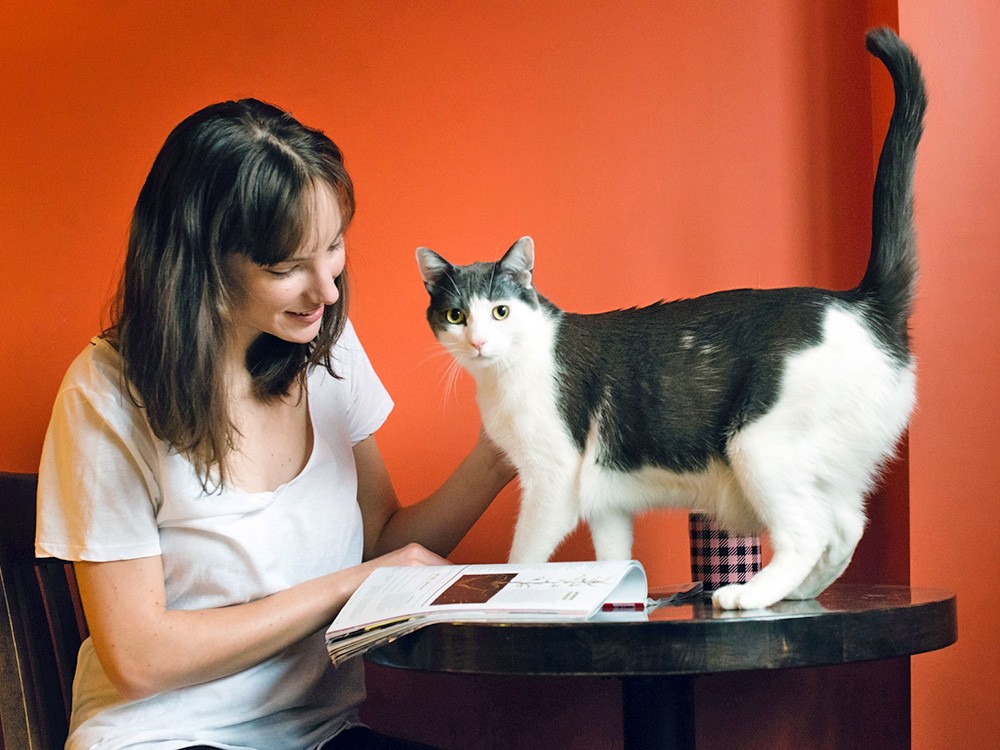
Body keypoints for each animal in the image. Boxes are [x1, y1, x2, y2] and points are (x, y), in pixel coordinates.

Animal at [416, 29, 928, 612]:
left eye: (500, 311)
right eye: (456, 315)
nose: (479, 341)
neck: (505, 376)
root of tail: (863, 302)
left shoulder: (553, 480)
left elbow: (523, 555)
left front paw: (507, 595)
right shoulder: (604, 496)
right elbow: (613, 552)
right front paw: (615, 593)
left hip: (759, 445)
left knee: (809, 533)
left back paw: (749, 594)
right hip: (826, 465)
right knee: (845, 528)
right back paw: (799, 593)